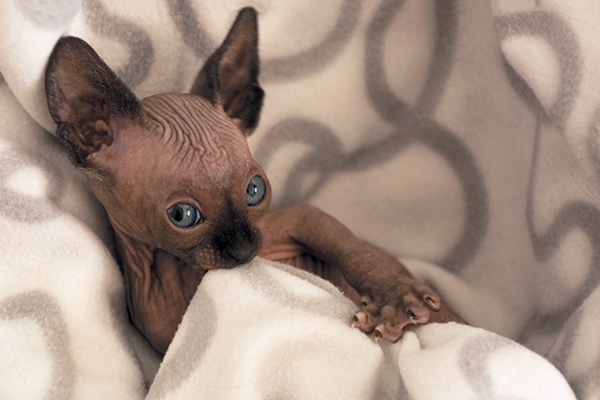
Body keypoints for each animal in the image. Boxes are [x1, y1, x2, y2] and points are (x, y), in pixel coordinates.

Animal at [45, 7, 464, 354]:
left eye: (254, 191)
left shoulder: (300, 219)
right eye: (182, 215)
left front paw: (392, 299)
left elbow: (353, 249)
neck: (178, 271)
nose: (245, 251)